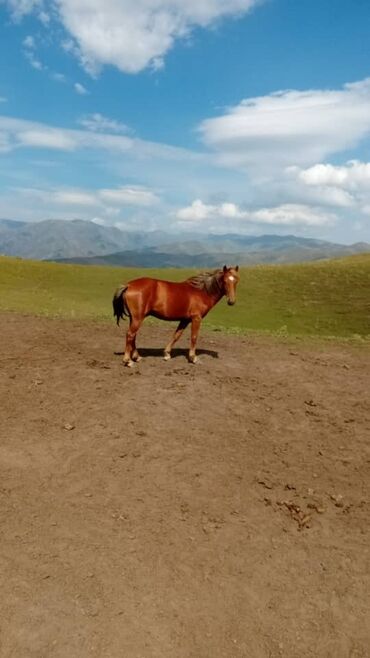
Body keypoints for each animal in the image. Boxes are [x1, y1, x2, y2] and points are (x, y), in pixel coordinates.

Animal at [112, 266, 240, 366]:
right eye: (225, 280)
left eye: (236, 280)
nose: (231, 301)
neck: (201, 292)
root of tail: (128, 285)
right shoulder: (196, 318)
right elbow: (194, 337)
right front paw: (193, 358)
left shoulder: (185, 320)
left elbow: (176, 335)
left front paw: (167, 354)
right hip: (138, 318)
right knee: (130, 335)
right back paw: (128, 361)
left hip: (134, 318)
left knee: (132, 336)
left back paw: (136, 357)